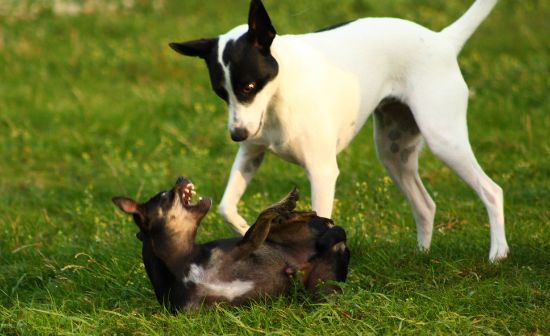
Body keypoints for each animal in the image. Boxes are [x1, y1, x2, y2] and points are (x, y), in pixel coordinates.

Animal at [170, 0, 512, 262]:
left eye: (249, 87)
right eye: (221, 93)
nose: (236, 134)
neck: (281, 91)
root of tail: (442, 40)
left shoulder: (321, 172)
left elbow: (320, 220)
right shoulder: (250, 154)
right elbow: (226, 207)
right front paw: (248, 232)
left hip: (443, 139)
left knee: (491, 191)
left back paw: (498, 254)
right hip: (393, 153)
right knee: (426, 206)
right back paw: (422, 255)